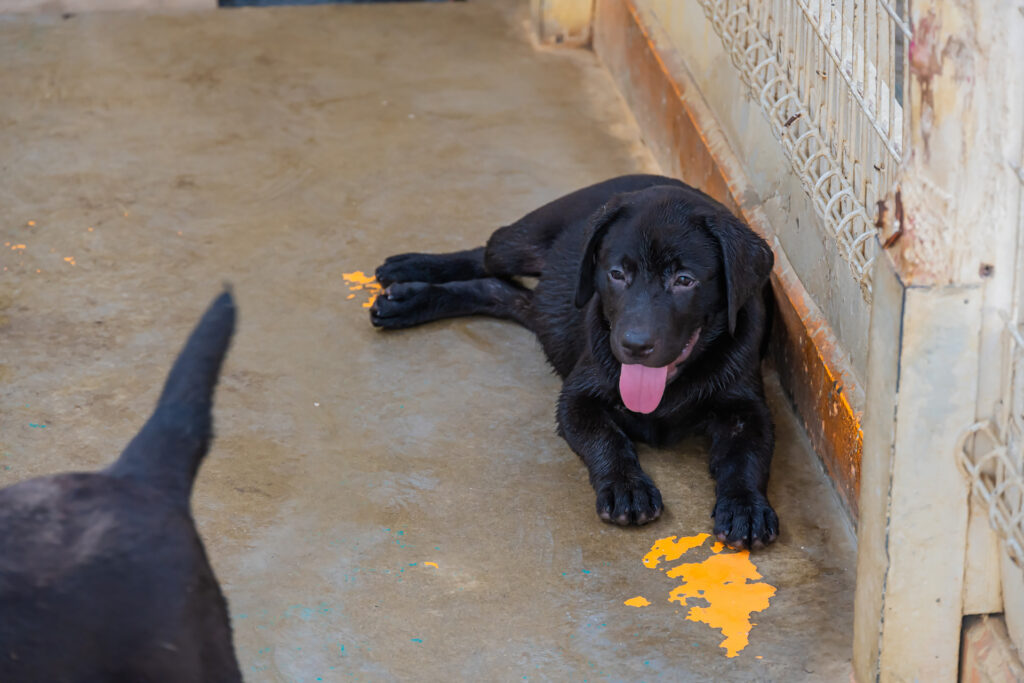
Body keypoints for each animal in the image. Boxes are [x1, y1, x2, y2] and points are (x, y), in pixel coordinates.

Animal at [370, 175, 779, 548]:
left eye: (684, 280)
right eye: (616, 274)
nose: (633, 345)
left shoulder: (747, 408)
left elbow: (746, 457)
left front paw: (746, 506)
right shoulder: (577, 397)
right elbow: (606, 438)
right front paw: (626, 487)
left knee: (500, 291)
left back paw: (409, 299)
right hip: (519, 243)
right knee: (485, 255)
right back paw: (410, 273)